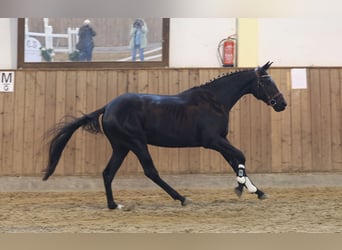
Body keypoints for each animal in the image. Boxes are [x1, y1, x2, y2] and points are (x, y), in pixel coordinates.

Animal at [44, 62, 288, 209]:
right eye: (267, 81)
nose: (282, 104)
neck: (215, 100)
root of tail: (108, 107)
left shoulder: (221, 141)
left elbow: (235, 161)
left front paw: (257, 191)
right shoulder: (213, 141)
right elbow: (241, 156)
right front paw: (242, 188)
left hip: (121, 146)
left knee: (107, 173)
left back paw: (114, 205)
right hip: (136, 142)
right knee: (150, 171)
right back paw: (182, 198)